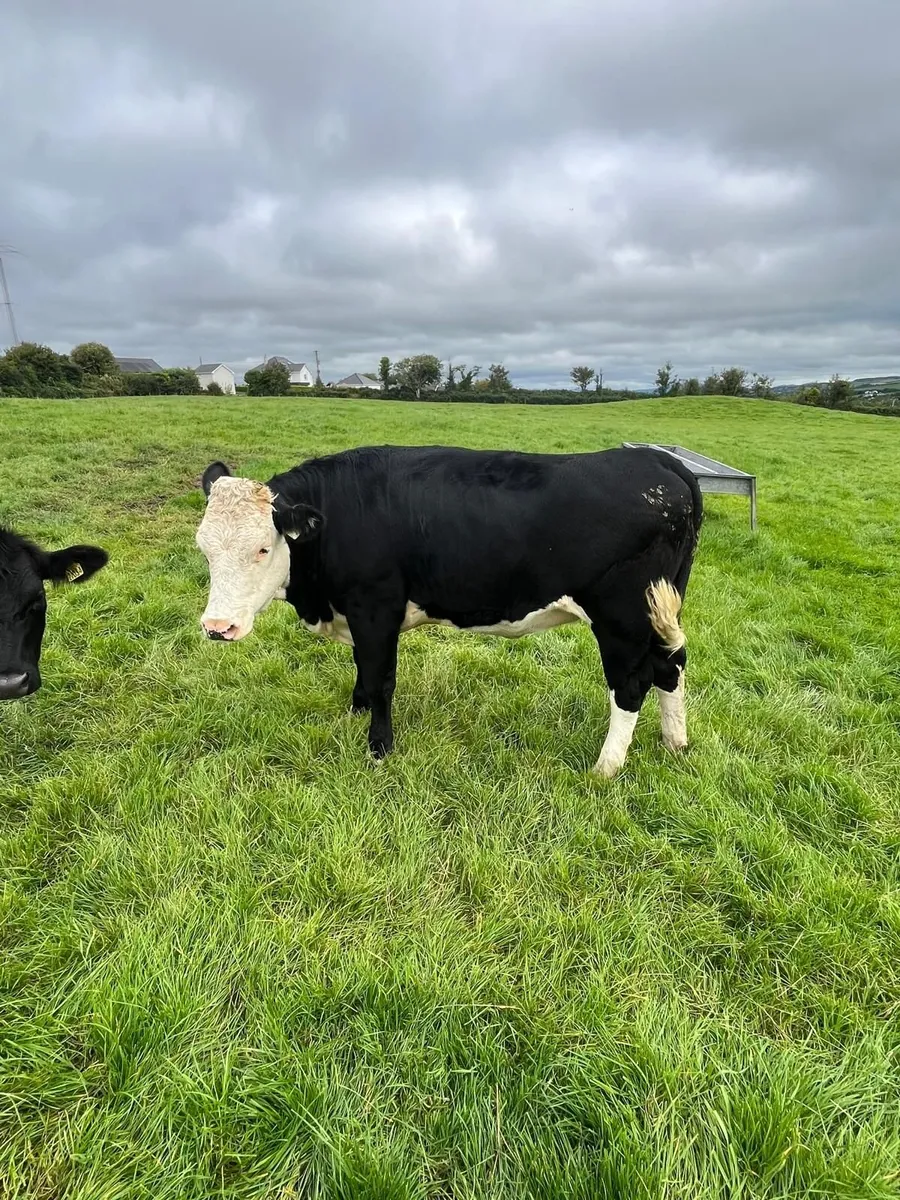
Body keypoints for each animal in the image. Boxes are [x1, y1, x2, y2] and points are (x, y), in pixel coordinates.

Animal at [195, 444, 702, 777]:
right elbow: (362, 668)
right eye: (203, 548)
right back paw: (675, 743)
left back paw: (605, 768)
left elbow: (380, 679)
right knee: (671, 664)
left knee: (631, 684)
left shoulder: (376, 608)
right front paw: (356, 712)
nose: (218, 627)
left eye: (263, 548)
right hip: (660, 613)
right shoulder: (359, 615)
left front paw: (379, 748)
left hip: (622, 618)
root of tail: (658, 460)